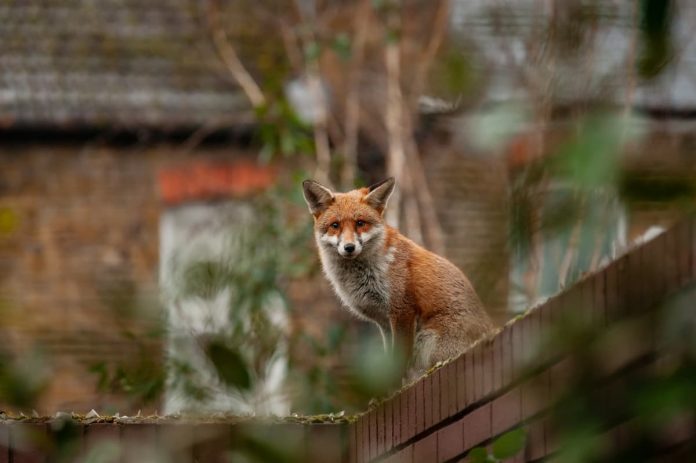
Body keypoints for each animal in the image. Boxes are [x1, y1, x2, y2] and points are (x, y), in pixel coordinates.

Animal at [302, 177, 495, 378]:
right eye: (335, 225)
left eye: (360, 223)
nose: (349, 247)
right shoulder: (384, 321)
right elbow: (389, 360)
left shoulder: (402, 310)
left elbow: (399, 362)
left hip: (429, 342)